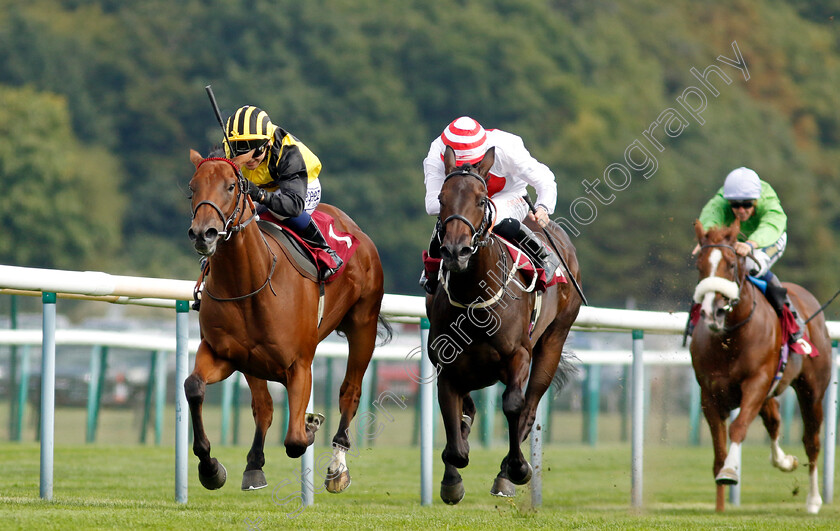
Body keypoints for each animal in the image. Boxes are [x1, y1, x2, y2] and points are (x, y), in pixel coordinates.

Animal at [184, 149, 388, 494]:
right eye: (192, 187)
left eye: (231, 186)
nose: (203, 233)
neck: (249, 284)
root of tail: (354, 228)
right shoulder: (225, 355)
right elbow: (195, 387)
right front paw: (211, 468)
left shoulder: (299, 365)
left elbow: (295, 440)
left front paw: (311, 425)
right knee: (263, 406)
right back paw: (254, 465)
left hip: (364, 324)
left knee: (350, 390)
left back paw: (337, 467)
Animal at [430, 145, 580, 502]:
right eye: (441, 197)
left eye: (481, 199)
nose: (455, 251)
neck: (474, 299)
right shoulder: (446, 365)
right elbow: (454, 424)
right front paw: (452, 479)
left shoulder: (518, 355)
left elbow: (514, 405)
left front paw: (517, 468)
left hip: (554, 340)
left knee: (530, 406)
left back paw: (507, 473)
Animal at [692, 220, 832, 516]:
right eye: (699, 265)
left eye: (731, 264)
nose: (712, 312)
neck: (731, 338)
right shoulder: (709, 393)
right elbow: (719, 449)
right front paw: (721, 495)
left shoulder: (756, 382)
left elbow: (739, 427)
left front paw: (730, 472)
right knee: (774, 419)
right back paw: (784, 461)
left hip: (812, 391)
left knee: (811, 441)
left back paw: (813, 500)